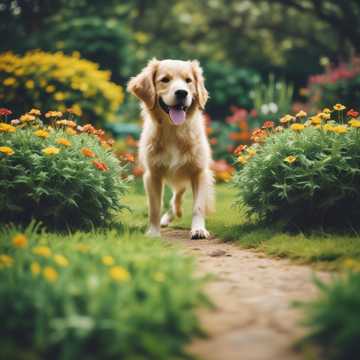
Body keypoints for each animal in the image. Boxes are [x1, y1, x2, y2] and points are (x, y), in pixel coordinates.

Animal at [129, 58, 215, 239]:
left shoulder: (199, 172)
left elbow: (198, 206)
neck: (174, 131)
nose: (182, 93)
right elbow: (154, 207)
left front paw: (198, 229)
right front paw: (153, 232)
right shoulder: (153, 174)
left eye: (188, 80)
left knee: (178, 195)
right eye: (165, 79)